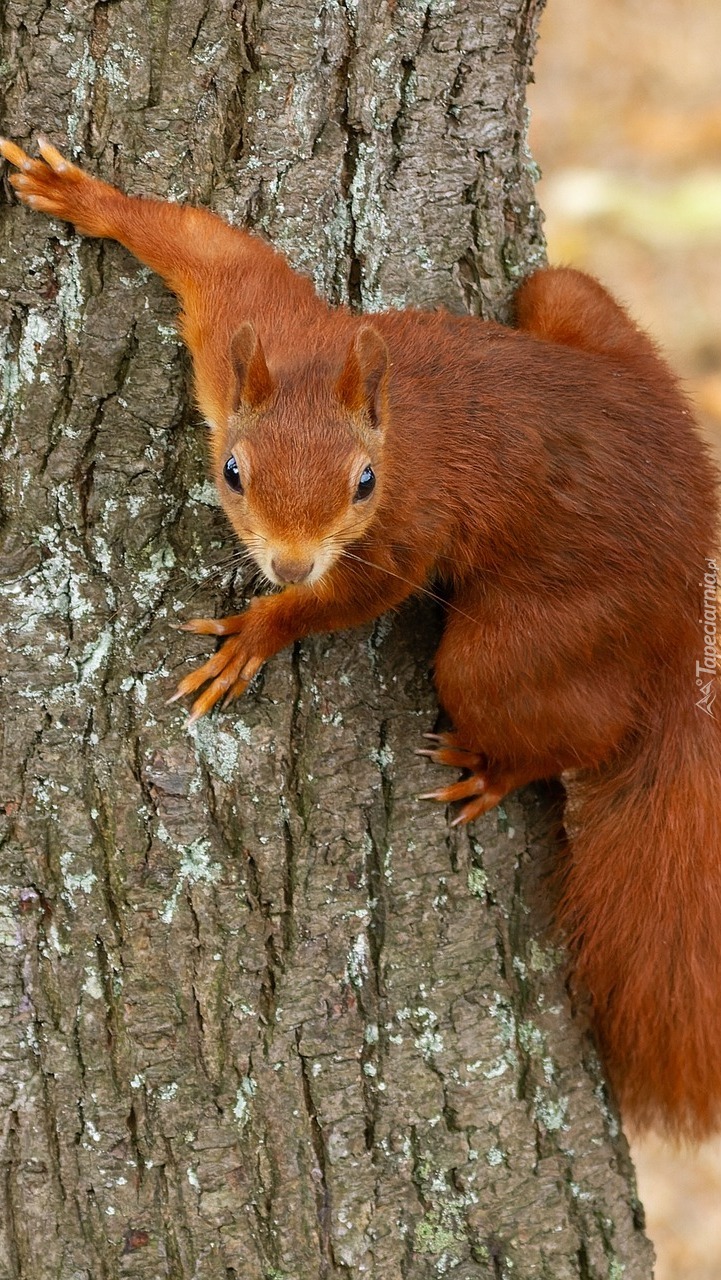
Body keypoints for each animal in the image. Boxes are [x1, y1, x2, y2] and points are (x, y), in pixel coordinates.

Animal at [2, 137, 717, 1141]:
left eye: (364, 483)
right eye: (232, 471)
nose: (290, 563)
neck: (373, 417)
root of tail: (688, 575)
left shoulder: (408, 527)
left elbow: (357, 598)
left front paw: (258, 634)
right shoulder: (251, 324)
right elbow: (211, 247)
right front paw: (81, 195)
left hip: (522, 641)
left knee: (562, 721)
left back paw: (497, 768)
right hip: (570, 304)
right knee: (560, 291)